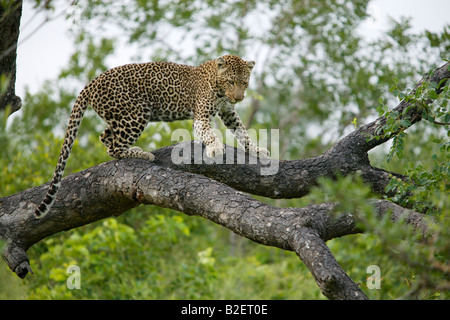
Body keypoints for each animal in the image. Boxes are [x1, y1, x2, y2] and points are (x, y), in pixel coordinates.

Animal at [35, 55, 268, 220]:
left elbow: (242, 131)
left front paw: (256, 150)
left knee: (105, 137)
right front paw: (215, 148)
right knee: (114, 147)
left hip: (120, 116)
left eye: (244, 83)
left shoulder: (228, 112)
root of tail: (92, 82)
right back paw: (141, 154)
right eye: (231, 82)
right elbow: (208, 133)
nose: (239, 98)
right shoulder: (201, 115)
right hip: (137, 113)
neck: (219, 88)